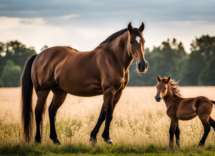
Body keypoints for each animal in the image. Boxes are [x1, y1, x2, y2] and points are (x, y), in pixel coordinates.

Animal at [21, 22, 149, 144]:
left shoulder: (117, 93)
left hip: (59, 92)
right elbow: (108, 114)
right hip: (42, 91)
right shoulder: (109, 91)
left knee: (52, 111)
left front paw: (93, 137)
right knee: (38, 113)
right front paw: (107, 138)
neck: (113, 59)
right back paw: (38, 140)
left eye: (143, 41)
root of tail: (39, 55)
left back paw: (55, 140)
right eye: (131, 41)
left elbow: (102, 115)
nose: (142, 65)